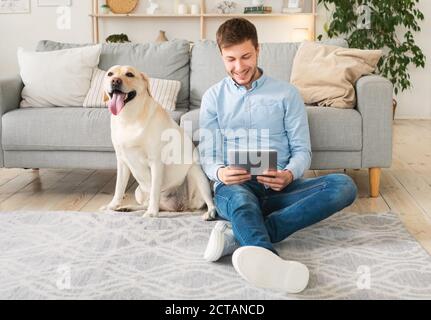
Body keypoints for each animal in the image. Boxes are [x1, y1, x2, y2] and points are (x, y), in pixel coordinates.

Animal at [100, 65, 216, 220]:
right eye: (110, 74)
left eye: (129, 74)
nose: (115, 81)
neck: (129, 118)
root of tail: (180, 207)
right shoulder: (122, 161)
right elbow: (119, 188)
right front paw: (112, 206)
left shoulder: (156, 162)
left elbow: (155, 190)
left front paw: (151, 214)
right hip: (139, 191)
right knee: (147, 203)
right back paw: (128, 208)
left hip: (196, 173)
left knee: (209, 201)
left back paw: (210, 213)